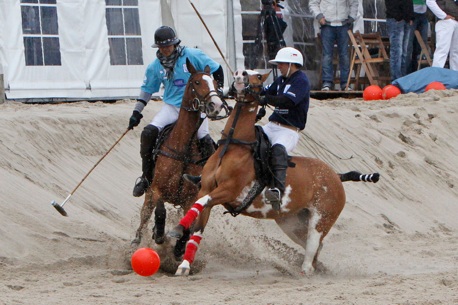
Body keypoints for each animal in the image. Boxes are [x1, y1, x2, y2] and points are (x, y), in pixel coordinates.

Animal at [131, 57, 227, 256]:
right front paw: (159, 235)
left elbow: (189, 225)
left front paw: (179, 247)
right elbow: (160, 211)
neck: (184, 149)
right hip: (148, 193)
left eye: (215, 83)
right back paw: (139, 239)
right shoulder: (157, 189)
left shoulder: (191, 198)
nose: (216, 105)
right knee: (145, 214)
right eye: (196, 82)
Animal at [170, 69, 378, 276]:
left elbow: (200, 203)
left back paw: (305, 270)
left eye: (258, 77)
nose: (239, 74)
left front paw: (177, 230)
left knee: (313, 245)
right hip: (291, 222)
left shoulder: (228, 190)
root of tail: (336, 176)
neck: (232, 145)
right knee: (315, 247)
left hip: (322, 219)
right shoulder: (206, 188)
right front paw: (184, 262)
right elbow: (198, 222)